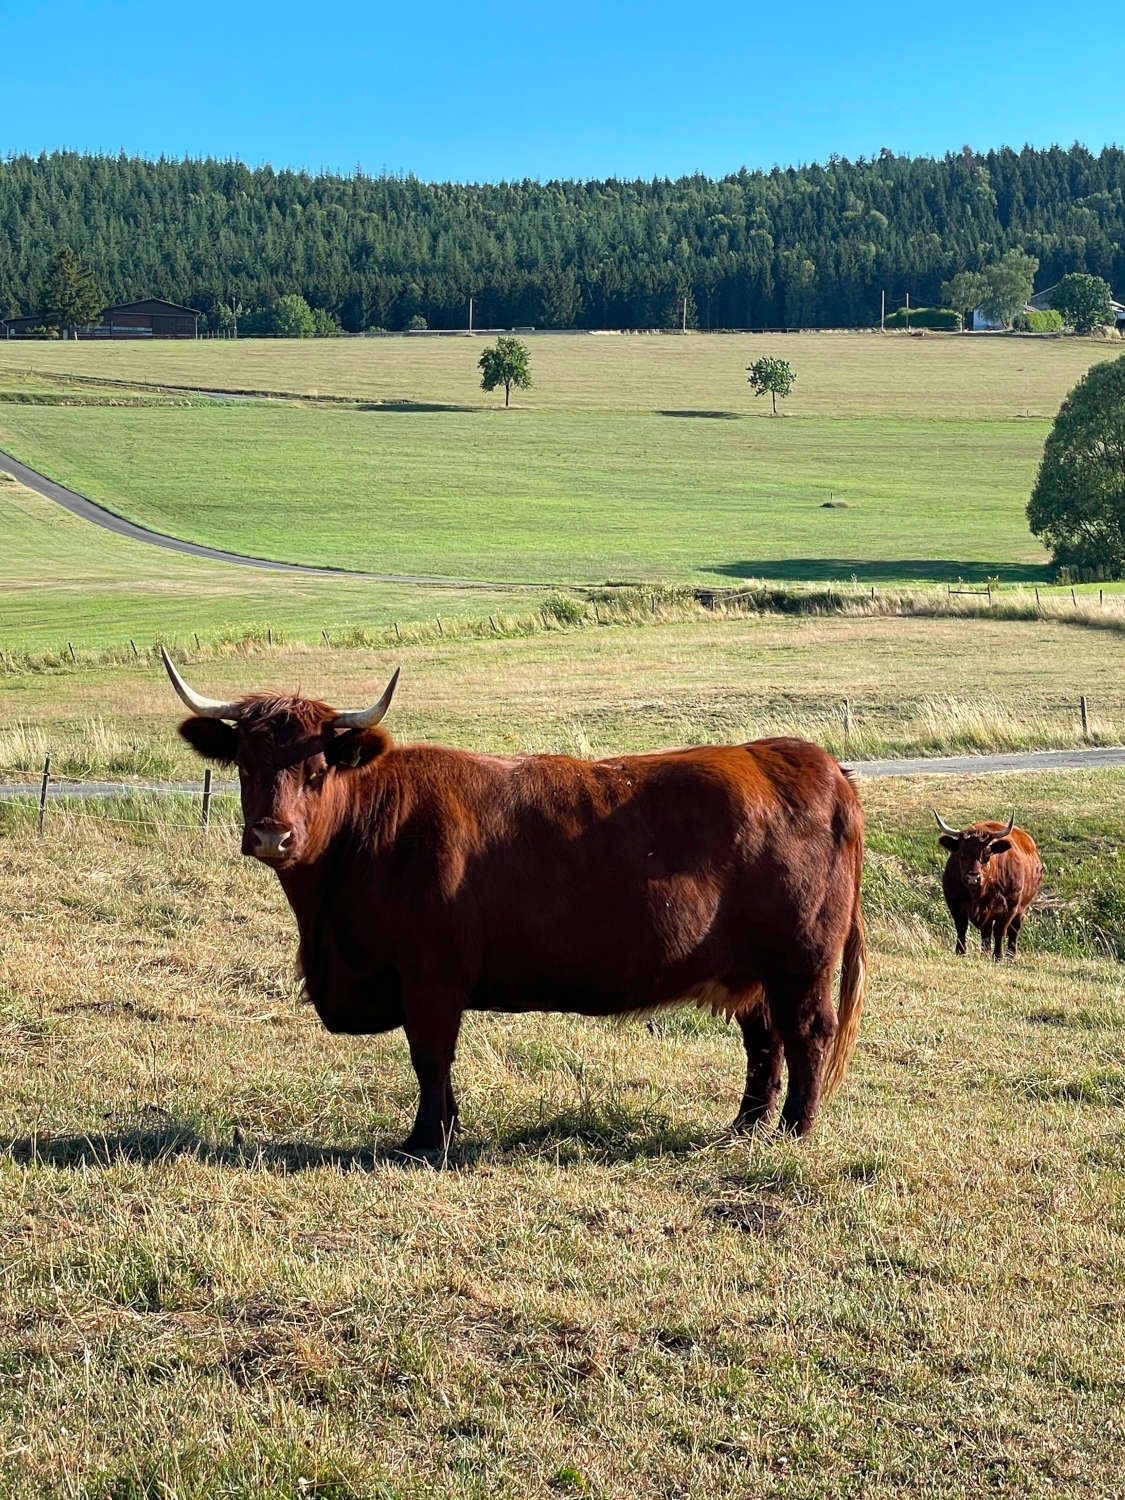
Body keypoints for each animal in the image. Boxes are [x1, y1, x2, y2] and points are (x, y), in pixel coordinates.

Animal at [160, 651, 864, 1152]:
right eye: (245, 765)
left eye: (316, 771)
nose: (271, 835)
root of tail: (809, 760)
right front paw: (438, 1132)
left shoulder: (431, 977)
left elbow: (430, 1057)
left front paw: (426, 1142)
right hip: (752, 969)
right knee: (765, 1042)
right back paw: (745, 1129)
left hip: (801, 961)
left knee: (807, 1033)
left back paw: (795, 1131)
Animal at [936, 810, 1050, 960]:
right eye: (961, 853)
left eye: (987, 853)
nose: (973, 877)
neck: (978, 894)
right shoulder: (954, 902)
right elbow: (961, 927)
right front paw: (960, 952)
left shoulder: (1009, 908)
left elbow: (1000, 931)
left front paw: (998, 956)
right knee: (986, 932)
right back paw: (985, 953)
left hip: (1021, 908)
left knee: (1014, 930)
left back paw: (1011, 955)